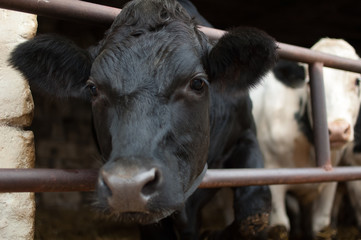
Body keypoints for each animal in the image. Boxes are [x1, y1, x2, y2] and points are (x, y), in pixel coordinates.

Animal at [250, 38, 360, 239]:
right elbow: (280, 225)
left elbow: (321, 224)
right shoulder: (271, 174)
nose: (338, 130)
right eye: (309, 84)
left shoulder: (330, 183)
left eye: (357, 81)